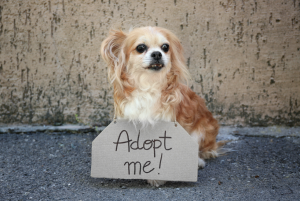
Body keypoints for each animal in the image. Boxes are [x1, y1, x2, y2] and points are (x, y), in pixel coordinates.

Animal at [101, 26, 225, 187]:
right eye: (141, 48)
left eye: (165, 47)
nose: (157, 53)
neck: (149, 84)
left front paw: (156, 177)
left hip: (202, 130)